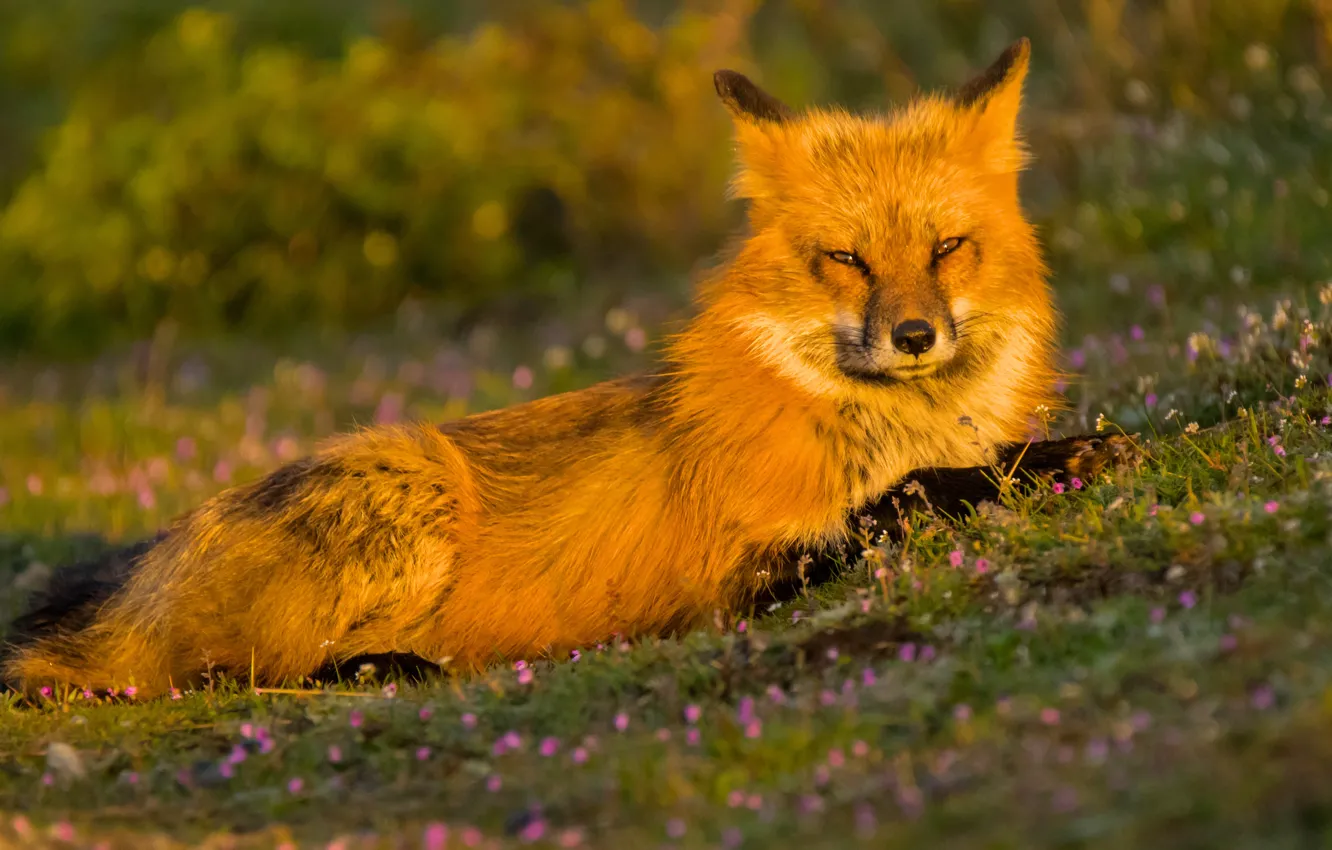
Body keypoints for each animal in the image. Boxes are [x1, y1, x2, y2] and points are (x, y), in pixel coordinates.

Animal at [4, 39, 1136, 696]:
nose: (912, 336)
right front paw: (1026, 468)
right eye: (846, 260)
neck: (884, 423)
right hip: (404, 488)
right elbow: (911, 495)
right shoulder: (737, 579)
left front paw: (1076, 450)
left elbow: (974, 467)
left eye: (947, 249)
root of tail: (140, 570)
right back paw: (387, 668)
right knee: (221, 677)